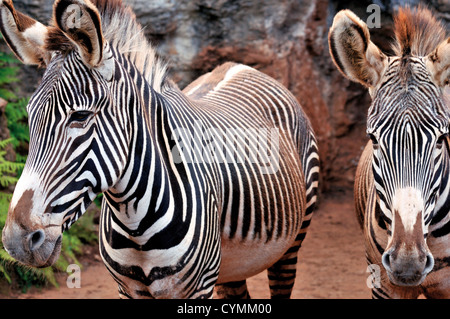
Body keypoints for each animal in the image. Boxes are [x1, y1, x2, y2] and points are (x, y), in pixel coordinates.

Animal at [0, 0, 318, 300]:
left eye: (80, 116)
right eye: (30, 116)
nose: (17, 241)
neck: (134, 224)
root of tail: (241, 67)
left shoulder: (199, 288)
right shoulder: (127, 289)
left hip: (292, 243)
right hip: (231, 267)